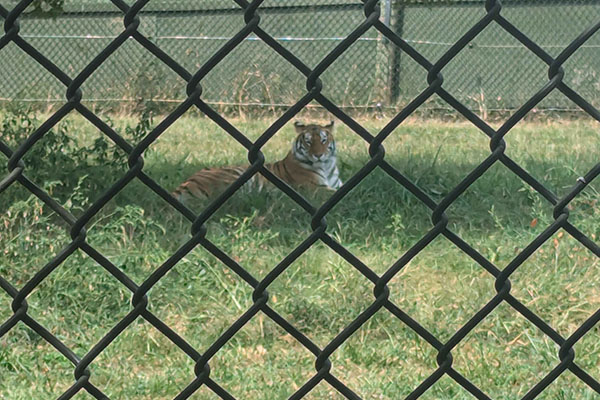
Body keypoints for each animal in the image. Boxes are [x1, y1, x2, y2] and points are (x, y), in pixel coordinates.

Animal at [173, 119, 342, 202]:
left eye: (324, 140)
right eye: (308, 142)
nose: (318, 155)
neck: (327, 166)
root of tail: (186, 182)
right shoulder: (314, 188)